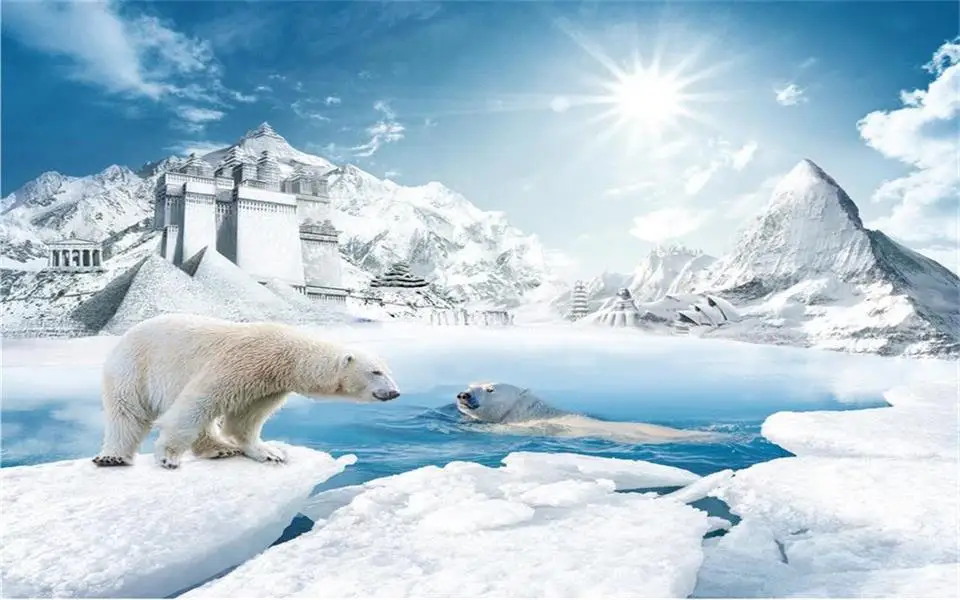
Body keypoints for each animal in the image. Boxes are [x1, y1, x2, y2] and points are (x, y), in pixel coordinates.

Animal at [92, 313, 401, 470]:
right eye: (376, 372)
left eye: (388, 370)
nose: (395, 393)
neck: (285, 354)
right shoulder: (241, 362)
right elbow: (196, 403)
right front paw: (168, 456)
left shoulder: (266, 384)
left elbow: (245, 420)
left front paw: (269, 452)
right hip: (134, 368)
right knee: (126, 413)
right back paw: (112, 456)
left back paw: (219, 449)